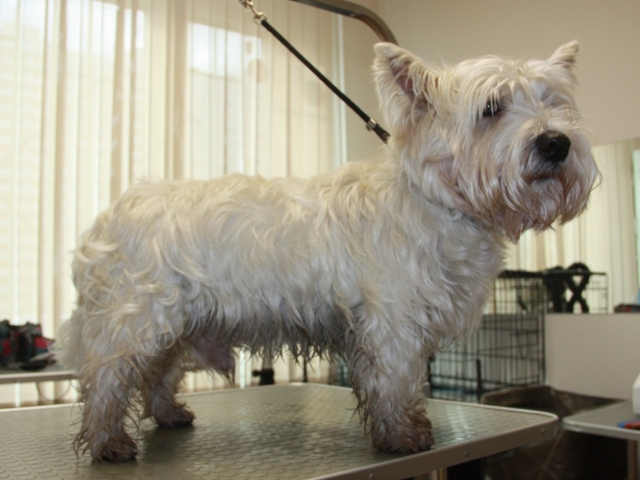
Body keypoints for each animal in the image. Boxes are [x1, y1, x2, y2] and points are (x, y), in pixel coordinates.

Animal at [55, 41, 598, 462]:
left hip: (173, 324)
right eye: (491, 108)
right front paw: (403, 435)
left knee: (157, 373)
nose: (555, 142)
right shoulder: (392, 323)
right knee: (107, 379)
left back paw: (168, 414)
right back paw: (108, 442)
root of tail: (108, 217)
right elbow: (396, 382)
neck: (437, 201)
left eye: (553, 102)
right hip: (133, 319)